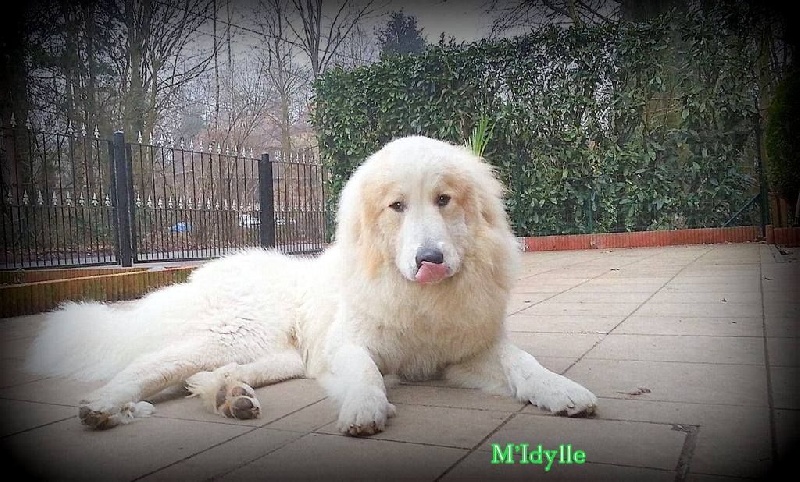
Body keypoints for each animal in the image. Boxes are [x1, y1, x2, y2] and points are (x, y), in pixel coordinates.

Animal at [27, 135, 597, 435]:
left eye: (444, 200)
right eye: (397, 206)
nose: (430, 259)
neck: (420, 299)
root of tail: (213, 268)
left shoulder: (470, 354)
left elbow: (524, 364)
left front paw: (562, 391)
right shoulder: (346, 346)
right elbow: (365, 371)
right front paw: (365, 409)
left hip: (275, 356)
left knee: (202, 376)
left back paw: (227, 397)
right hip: (234, 334)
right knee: (150, 364)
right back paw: (106, 407)